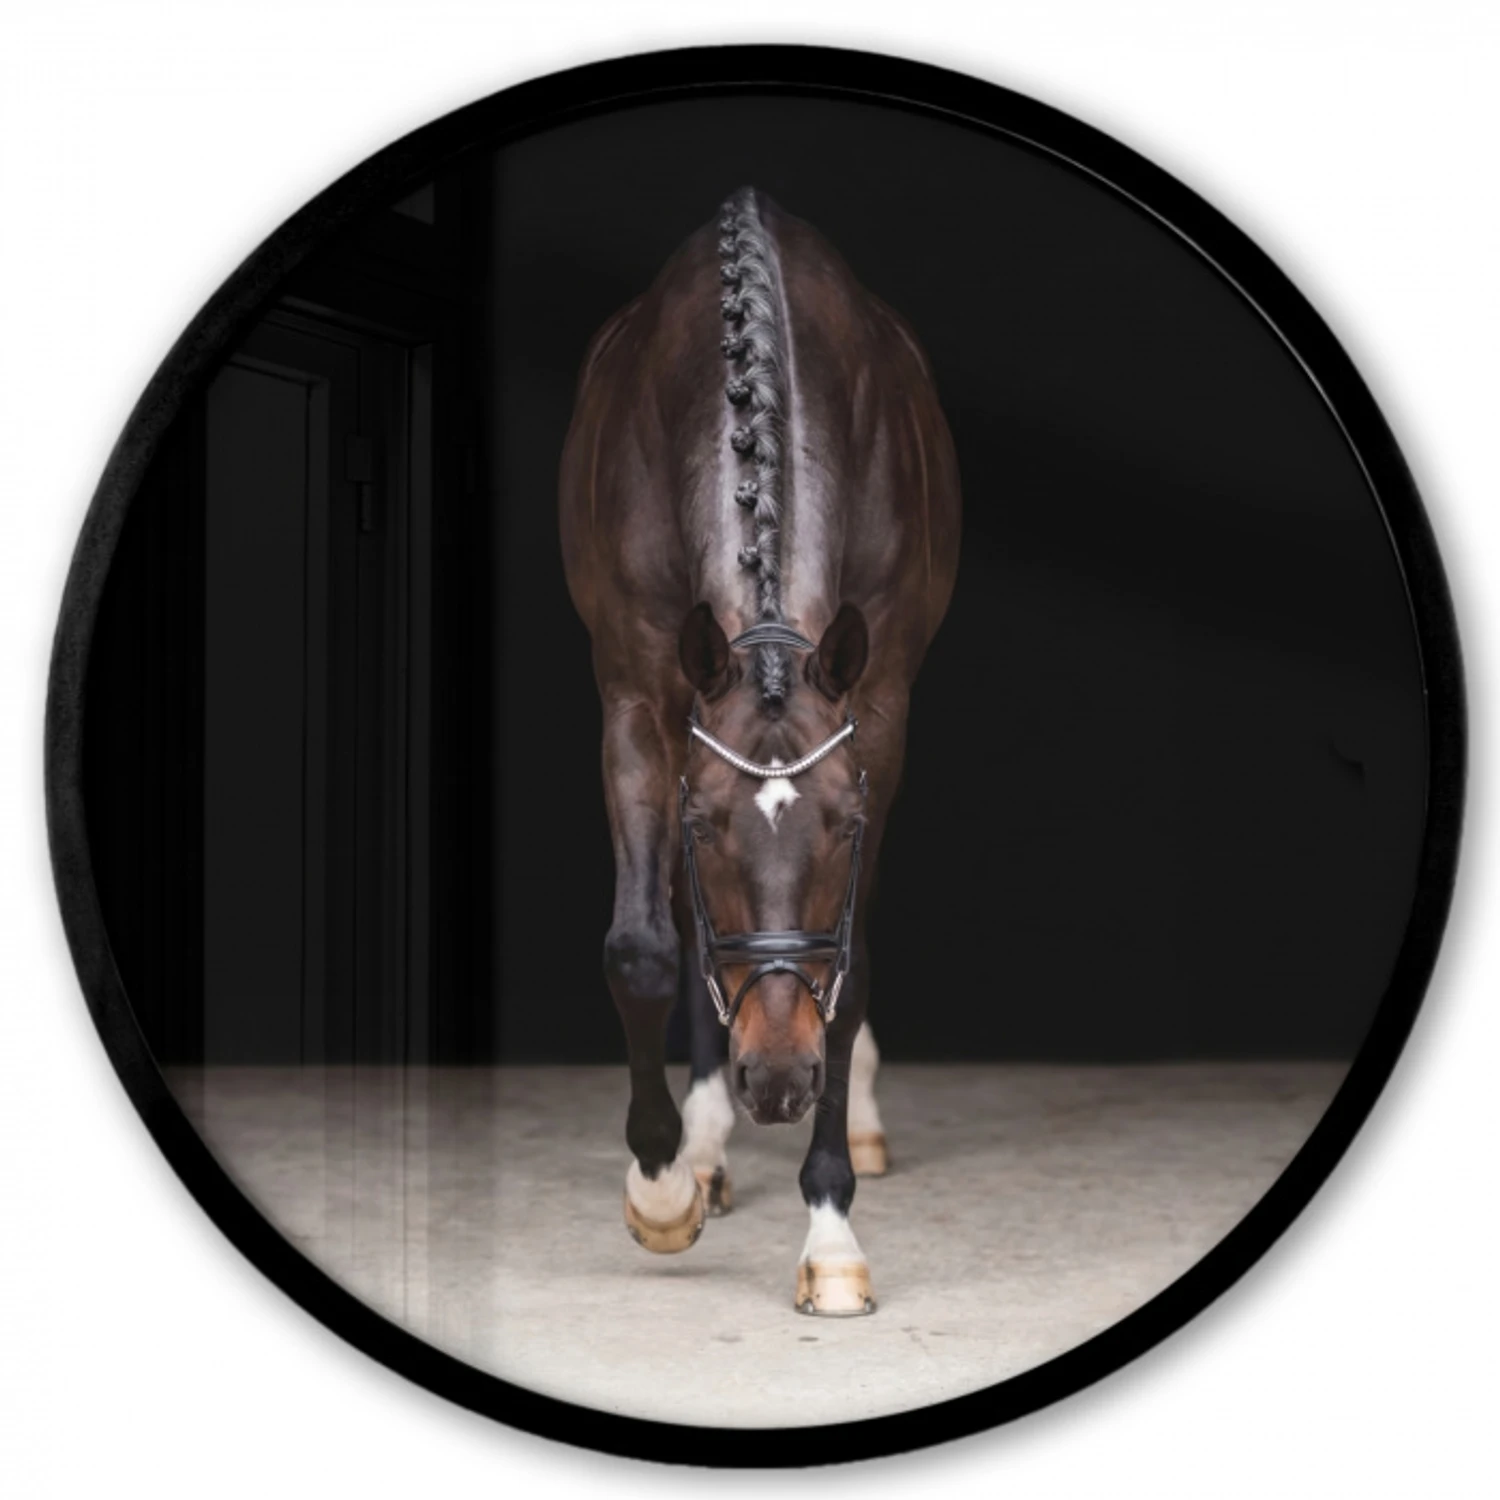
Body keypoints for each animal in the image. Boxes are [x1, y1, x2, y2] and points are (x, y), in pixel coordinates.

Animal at [558, 186, 960, 1314]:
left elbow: (846, 968)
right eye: (703, 828)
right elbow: (648, 946)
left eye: (845, 825)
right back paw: (703, 1148)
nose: (778, 1080)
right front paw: (661, 1188)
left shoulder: (879, 709)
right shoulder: (636, 695)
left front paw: (830, 1234)